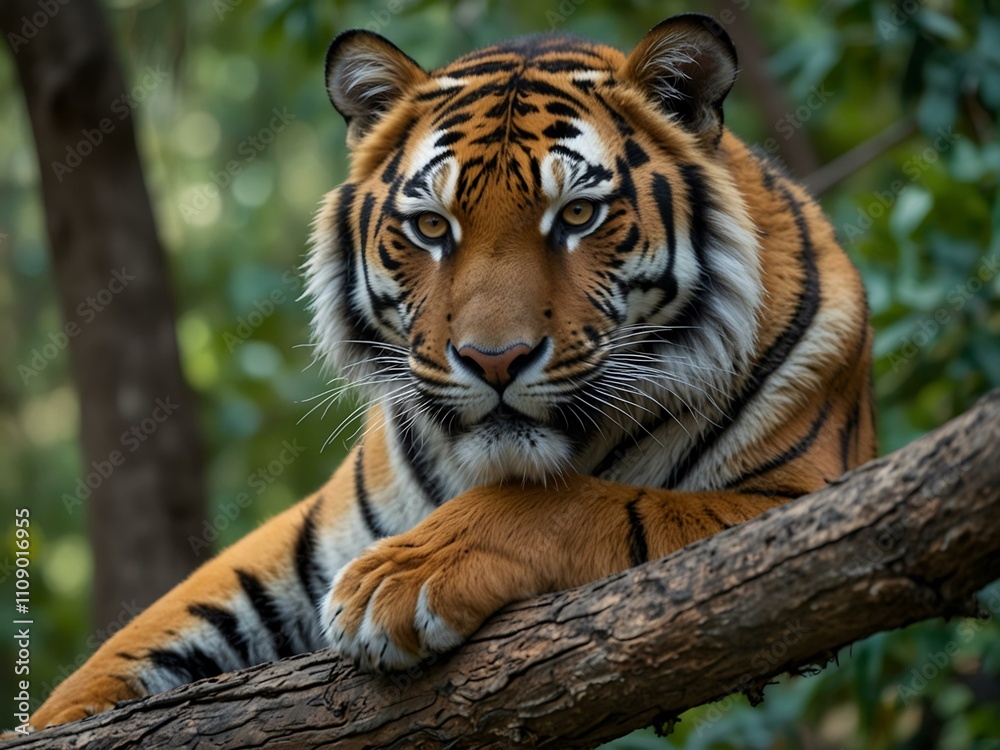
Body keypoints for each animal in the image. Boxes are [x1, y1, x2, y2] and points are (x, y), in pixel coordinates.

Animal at [28, 13, 876, 732]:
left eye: (577, 216)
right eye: (432, 227)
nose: (493, 359)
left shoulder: (794, 502)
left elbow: (571, 503)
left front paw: (400, 582)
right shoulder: (304, 540)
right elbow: (126, 651)